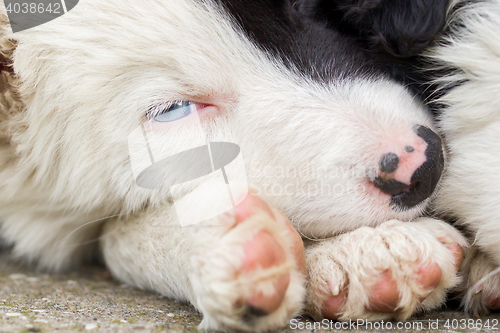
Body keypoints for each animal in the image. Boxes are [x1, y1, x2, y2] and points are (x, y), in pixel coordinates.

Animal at [0, 0, 468, 330]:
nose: (422, 165)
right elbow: (113, 235)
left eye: (300, 3)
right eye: (173, 110)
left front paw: (368, 250)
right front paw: (229, 248)